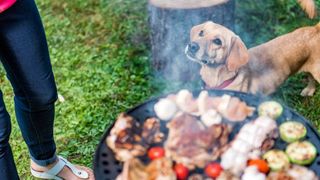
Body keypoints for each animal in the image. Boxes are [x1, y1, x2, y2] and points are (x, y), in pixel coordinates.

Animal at [185, 21, 320, 95]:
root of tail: (315, 29)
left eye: (217, 41)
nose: (192, 46)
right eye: (201, 33)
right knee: (311, 78)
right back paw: (309, 90)